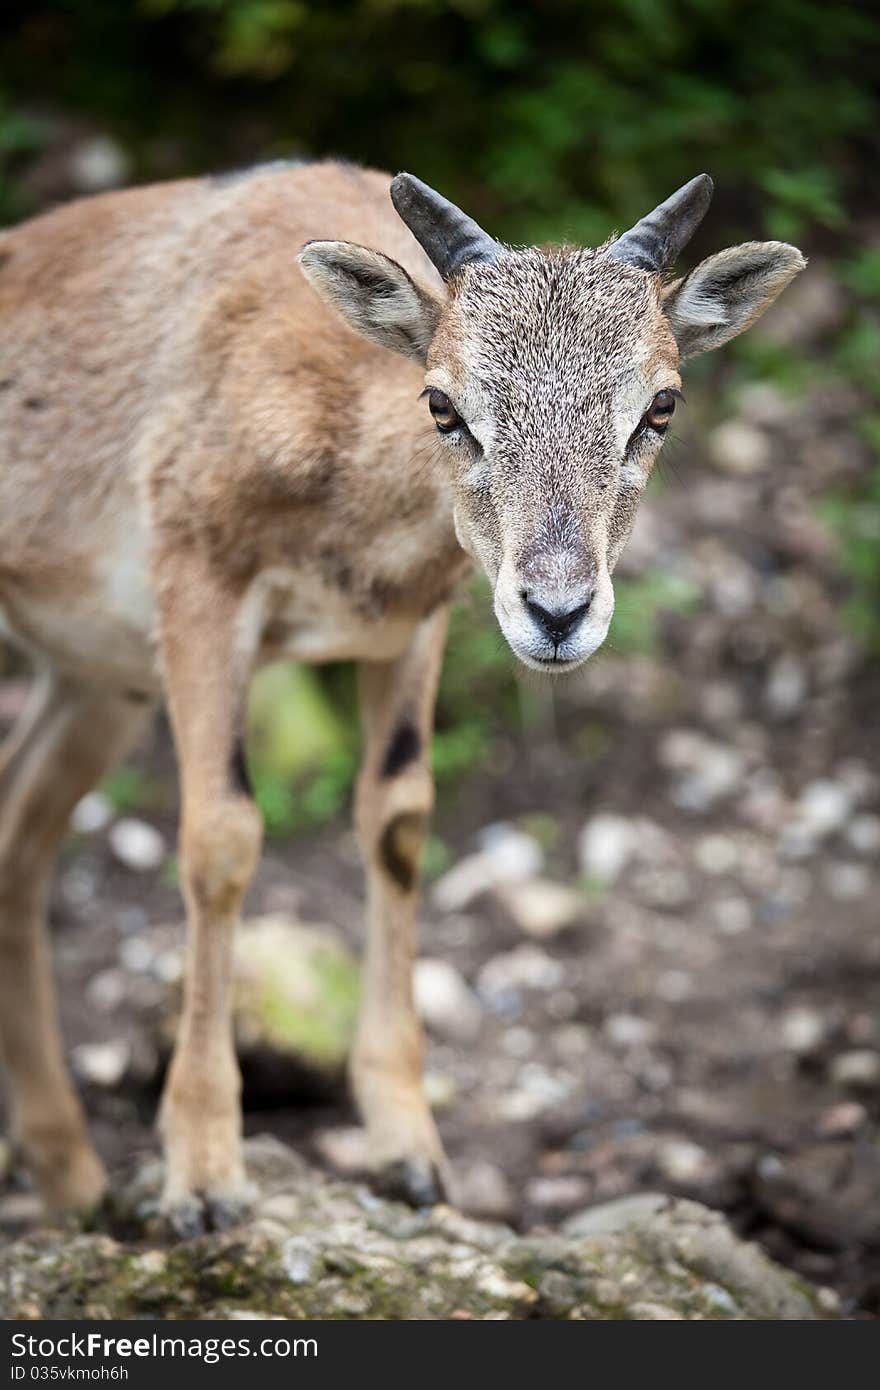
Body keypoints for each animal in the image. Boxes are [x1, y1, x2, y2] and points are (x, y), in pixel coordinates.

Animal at [0, 157, 800, 1234]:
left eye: (661, 404)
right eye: (444, 403)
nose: (557, 611)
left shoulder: (415, 622)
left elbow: (399, 818)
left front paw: (410, 1154)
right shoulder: (196, 576)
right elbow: (221, 837)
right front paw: (203, 1177)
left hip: (96, 679)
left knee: (17, 838)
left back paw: (73, 1180)